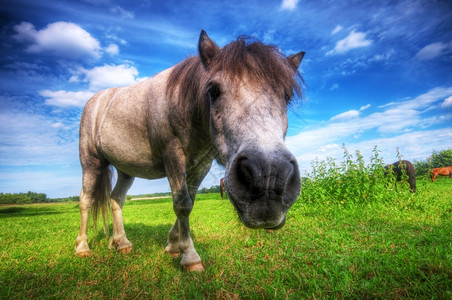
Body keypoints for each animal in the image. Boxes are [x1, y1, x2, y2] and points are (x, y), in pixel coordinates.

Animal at [76, 30, 306, 272]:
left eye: (287, 97)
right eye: (213, 90)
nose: (269, 179)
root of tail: (97, 100)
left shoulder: (200, 166)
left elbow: (190, 202)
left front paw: (173, 245)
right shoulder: (173, 158)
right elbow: (182, 204)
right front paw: (189, 256)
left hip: (126, 170)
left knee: (116, 200)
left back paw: (121, 242)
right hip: (91, 163)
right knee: (86, 200)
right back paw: (82, 247)